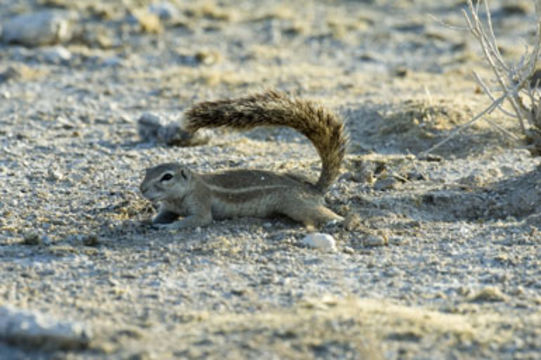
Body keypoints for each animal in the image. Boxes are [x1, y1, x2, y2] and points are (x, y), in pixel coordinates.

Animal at [139, 91, 346, 229]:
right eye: (146, 171)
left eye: (167, 177)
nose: (142, 189)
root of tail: (314, 189)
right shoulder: (168, 208)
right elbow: (161, 216)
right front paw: (152, 222)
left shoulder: (200, 201)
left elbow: (198, 220)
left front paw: (166, 227)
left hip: (297, 205)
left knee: (324, 215)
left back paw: (344, 221)